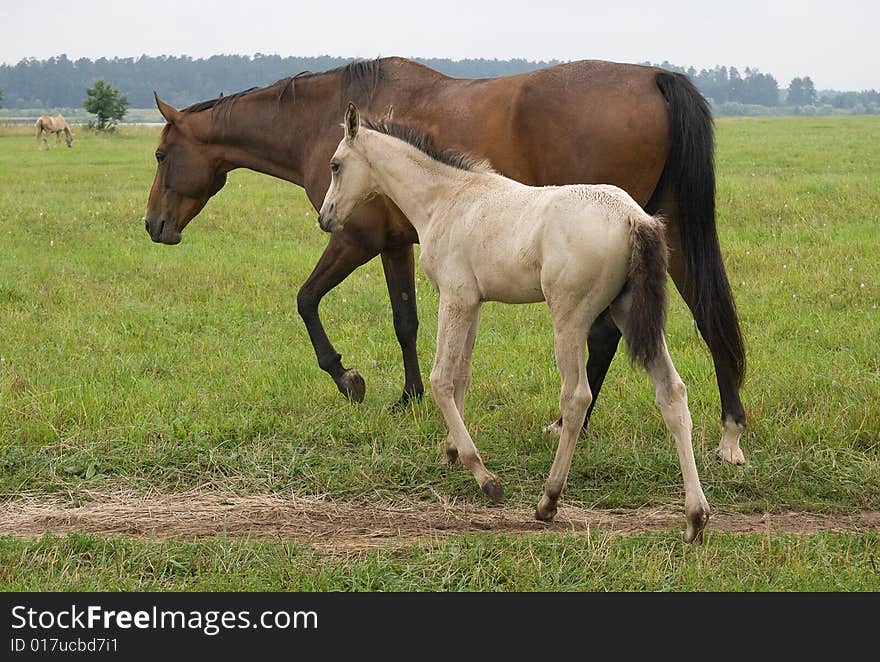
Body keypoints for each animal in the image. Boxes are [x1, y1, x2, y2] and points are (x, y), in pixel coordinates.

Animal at [144, 57, 748, 466]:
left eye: (160, 154)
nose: (153, 226)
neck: (323, 122)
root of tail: (654, 76)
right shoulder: (395, 245)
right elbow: (405, 320)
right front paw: (410, 397)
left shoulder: (354, 239)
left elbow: (306, 299)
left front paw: (348, 378)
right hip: (665, 236)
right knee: (710, 317)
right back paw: (729, 431)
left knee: (606, 337)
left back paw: (570, 423)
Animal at [320, 102, 712, 540]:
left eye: (335, 165)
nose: (325, 218)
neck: (446, 198)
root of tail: (635, 218)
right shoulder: (473, 303)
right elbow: (462, 375)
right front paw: (451, 451)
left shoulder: (454, 297)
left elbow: (441, 378)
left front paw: (483, 475)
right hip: (629, 313)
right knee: (672, 393)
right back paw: (695, 516)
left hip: (569, 319)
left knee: (576, 398)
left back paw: (549, 501)